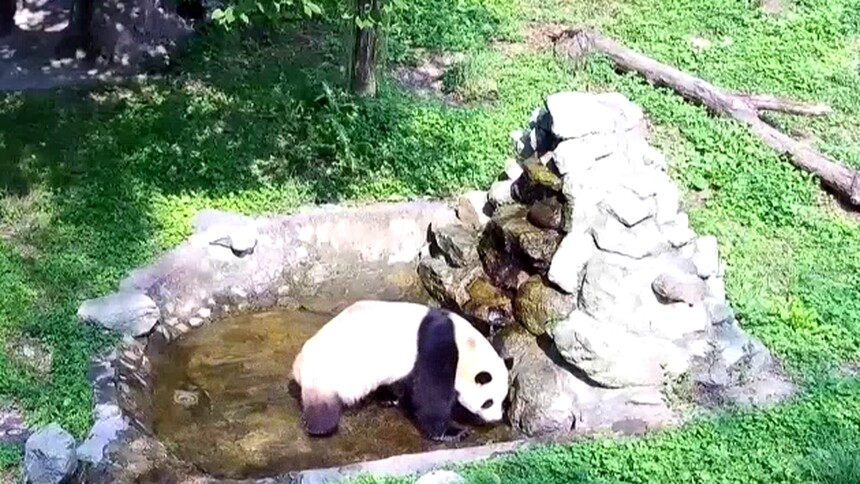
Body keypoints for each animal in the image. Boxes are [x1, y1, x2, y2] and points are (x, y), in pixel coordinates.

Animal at [291, 300, 511, 442]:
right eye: (488, 402)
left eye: (503, 401)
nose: (496, 419)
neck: (466, 346)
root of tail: (297, 366)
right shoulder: (436, 349)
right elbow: (430, 395)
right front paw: (453, 432)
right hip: (325, 375)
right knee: (322, 408)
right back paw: (320, 429)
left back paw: (388, 398)